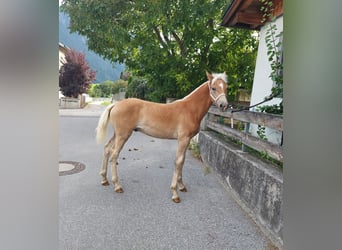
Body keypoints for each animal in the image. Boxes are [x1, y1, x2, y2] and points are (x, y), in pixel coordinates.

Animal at [95, 71, 227, 203]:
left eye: (226, 87)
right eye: (214, 88)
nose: (224, 105)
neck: (189, 109)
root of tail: (116, 104)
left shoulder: (187, 140)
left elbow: (182, 161)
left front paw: (181, 186)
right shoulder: (183, 139)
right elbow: (178, 161)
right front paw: (175, 193)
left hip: (117, 135)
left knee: (107, 149)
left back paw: (104, 179)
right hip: (123, 135)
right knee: (114, 155)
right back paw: (117, 186)